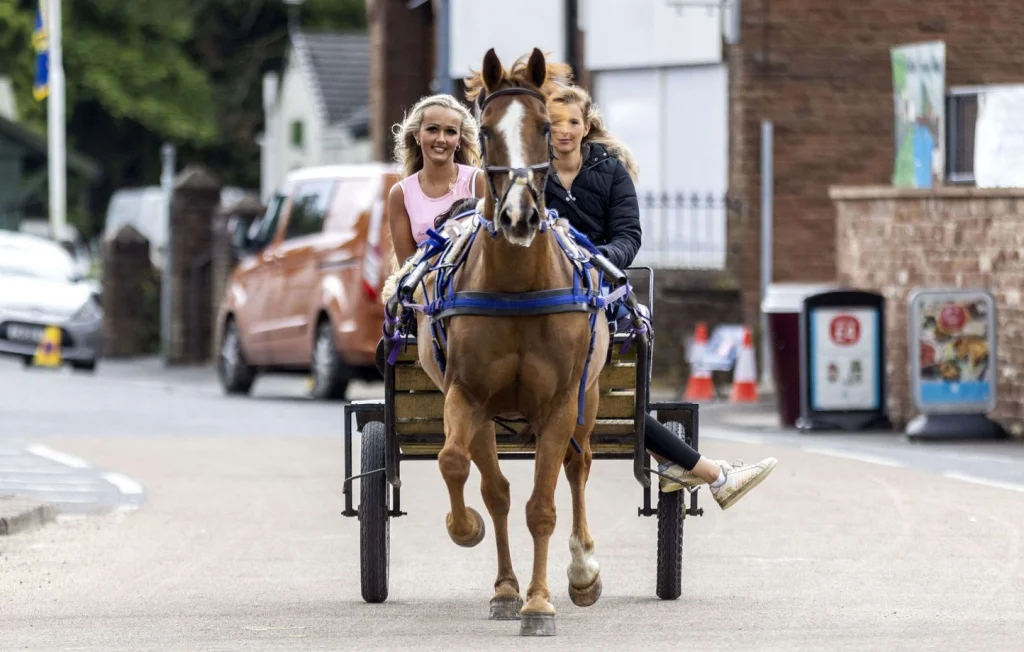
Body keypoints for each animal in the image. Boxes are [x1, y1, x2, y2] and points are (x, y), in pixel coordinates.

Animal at [381, 48, 617, 636]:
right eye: (484, 131)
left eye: (544, 127)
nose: (519, 215)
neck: (516, 287)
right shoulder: (468, 396)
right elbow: (461, 468)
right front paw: (467, 531)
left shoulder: (559, 403)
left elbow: (543, 505)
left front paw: (542, 603)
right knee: (495, 487)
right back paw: (506, 586)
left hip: (589, 394)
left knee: (579, 466)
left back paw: (582, 570)